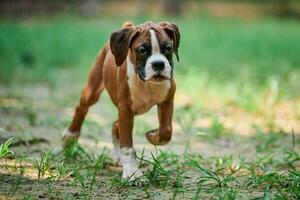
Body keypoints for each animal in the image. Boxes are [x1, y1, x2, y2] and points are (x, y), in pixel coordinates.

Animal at [62, 21, 179, 184]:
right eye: (142, 50)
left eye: (168, 48)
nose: (158, 64)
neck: (146, 84)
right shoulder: (125, 109)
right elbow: (127, 146)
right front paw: (133, 174)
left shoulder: (167, 101)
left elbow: (166, 131)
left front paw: (152, 136)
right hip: (93, 90)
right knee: (81, 108)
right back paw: (70, 136)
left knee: (115, 125)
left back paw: (117, 156)